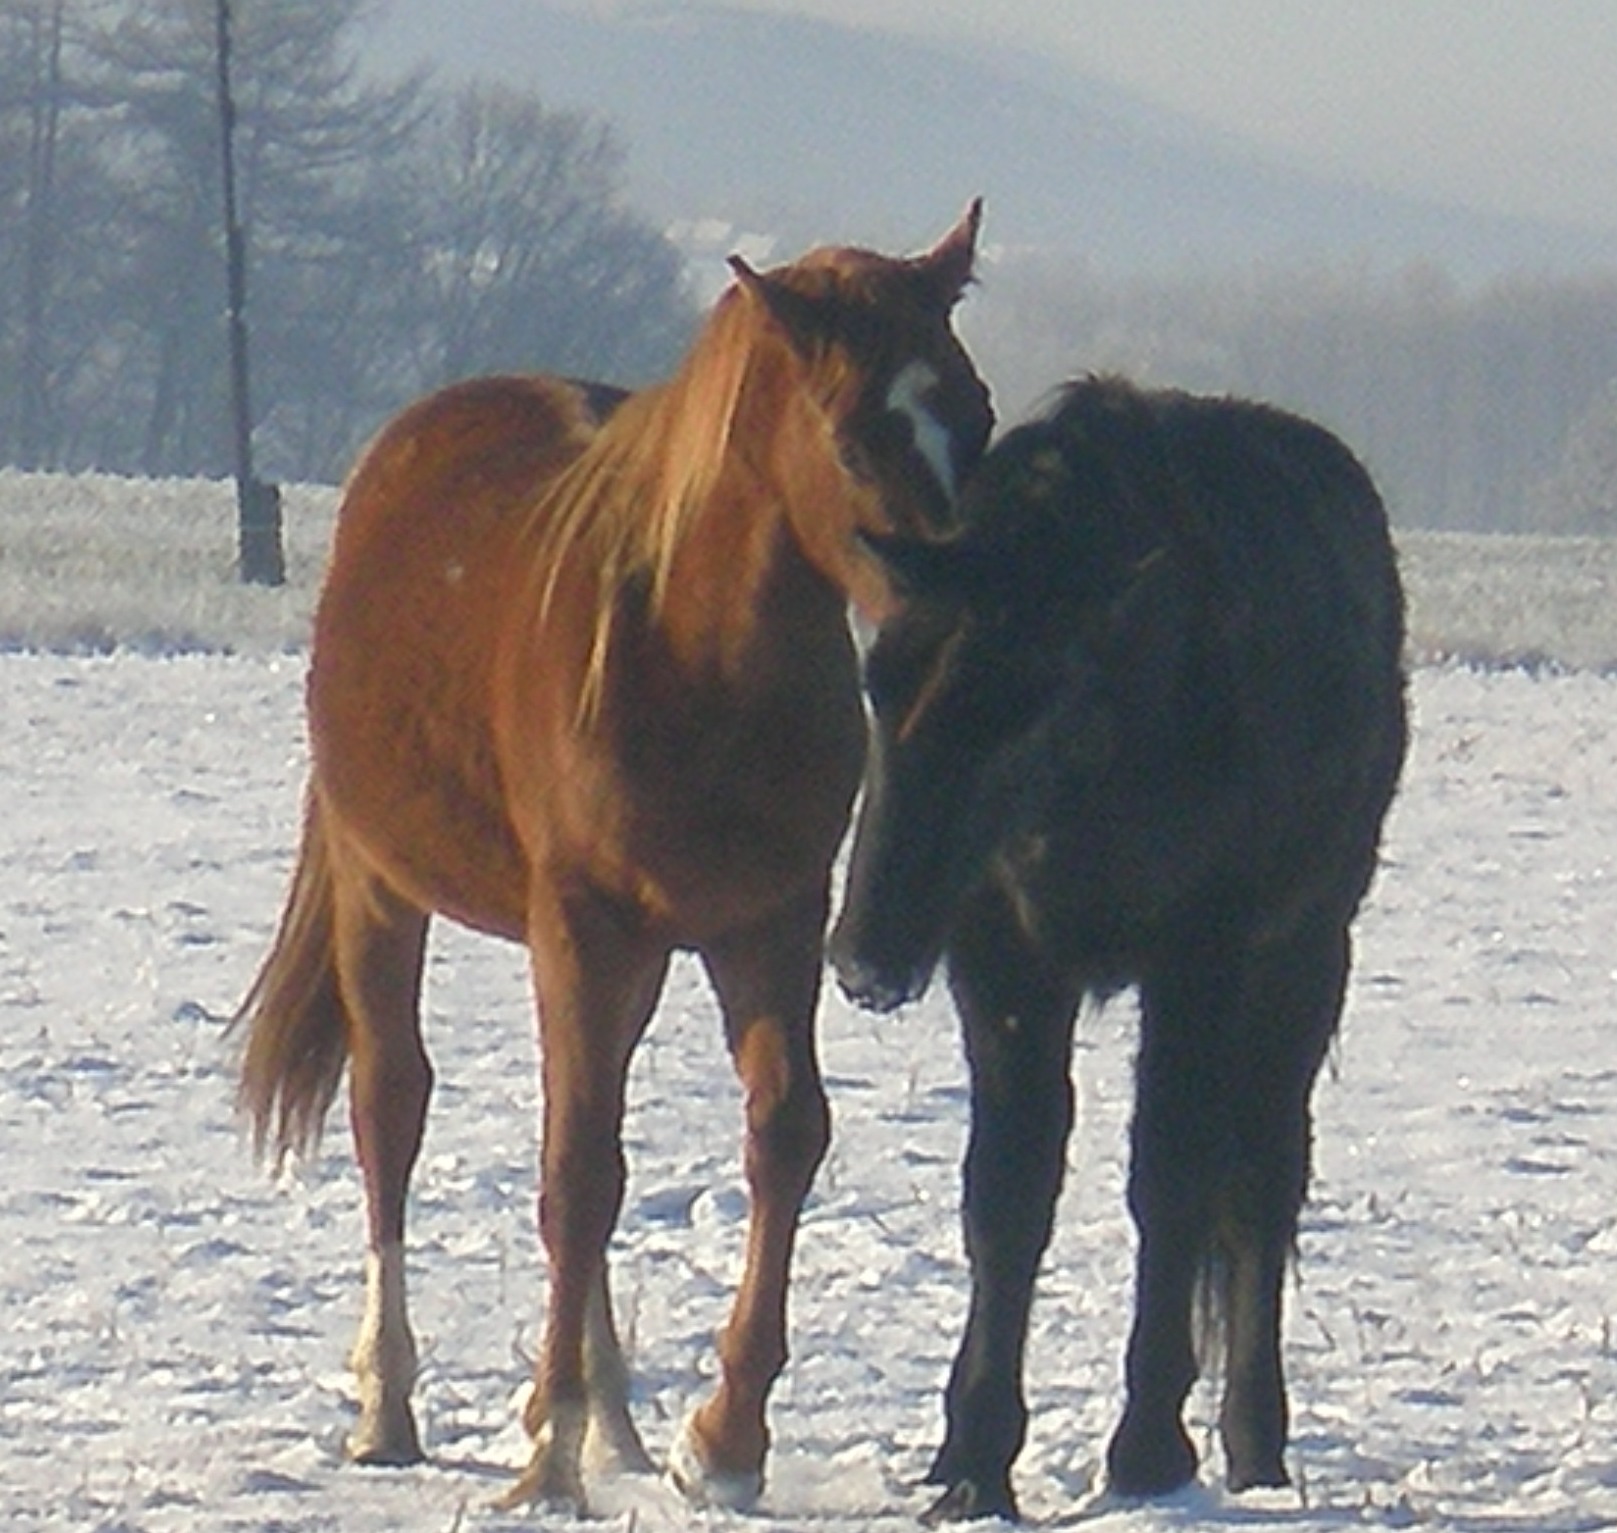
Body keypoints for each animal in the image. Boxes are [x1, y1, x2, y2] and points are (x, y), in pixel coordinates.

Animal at [234, 203, 989, 1507]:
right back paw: (393, 1402)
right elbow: (577, 1171)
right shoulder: (584, 924)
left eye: (977, 415)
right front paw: (548, 1456)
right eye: (855, 438)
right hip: (390, 891)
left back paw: (613, 1419)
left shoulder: (768, 922)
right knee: (396, 1108)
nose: (970, 627)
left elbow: (782, 1132)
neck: (693, 656)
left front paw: (720, 1440)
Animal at [827, 373, 1410, 1520]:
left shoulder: (1201, 953)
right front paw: (972, 1457)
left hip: (1306, 951)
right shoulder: (1004, 963)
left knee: (1262, 1178)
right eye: (875, 681)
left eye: (1020, 701)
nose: (865, 954)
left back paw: (1255, 1441)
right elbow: (1005, 1193)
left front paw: (1147, 1448)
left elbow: (1172, 1178)